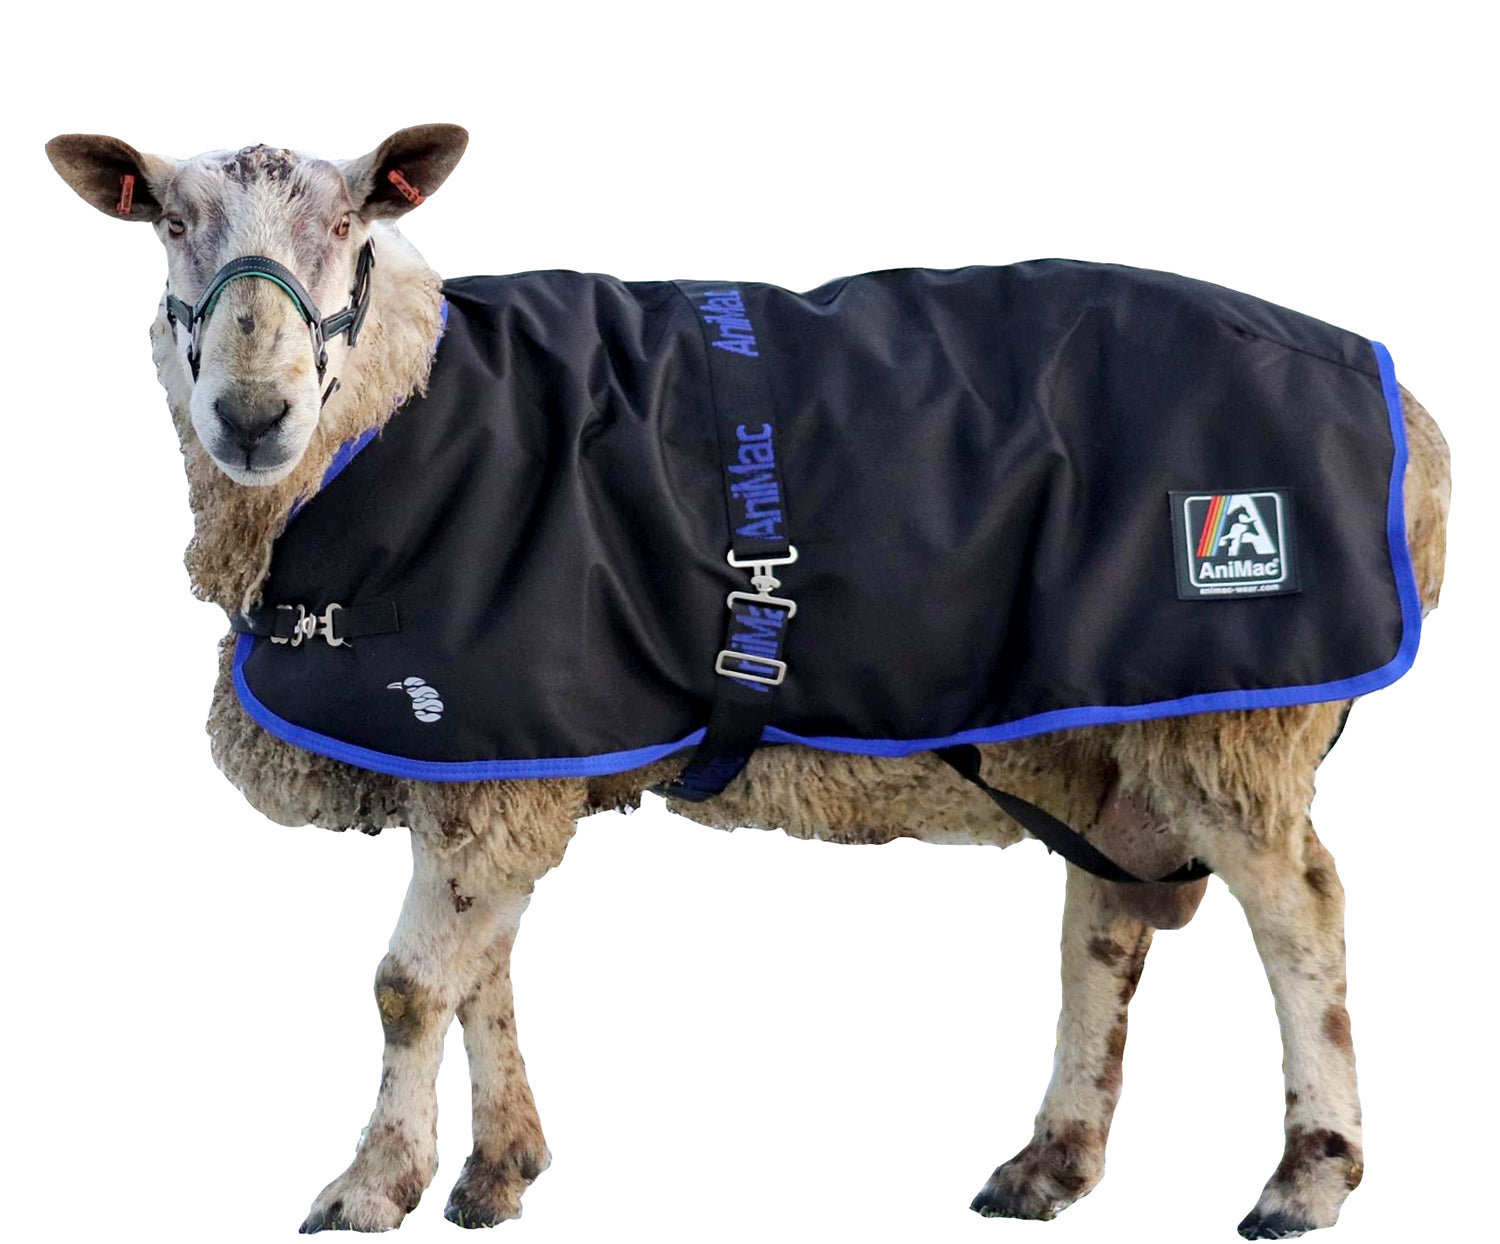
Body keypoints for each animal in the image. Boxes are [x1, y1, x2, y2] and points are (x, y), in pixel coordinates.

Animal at [44, 124, 1450, 1238]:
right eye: (169, 220)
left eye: (349, 222)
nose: (252, 414)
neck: (396, 408)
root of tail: (1417, 436)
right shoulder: (497, 745)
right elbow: (481, 969)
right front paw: (500, 1168)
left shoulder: (489, 753)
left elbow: (409, 984)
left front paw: (371, 1185)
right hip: (1110, 722)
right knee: (1104, 926)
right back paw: (1051, 1162)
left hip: (1236, 705)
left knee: (1302, 910)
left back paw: (1308, 1175)